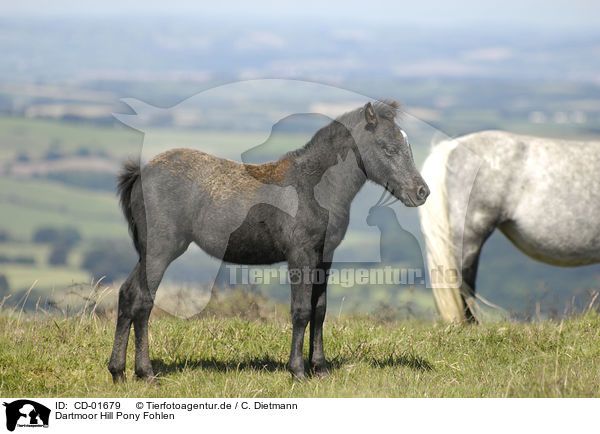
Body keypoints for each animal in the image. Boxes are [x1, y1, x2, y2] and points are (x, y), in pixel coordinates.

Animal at [106, 100, 426, 382]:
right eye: (388, 148)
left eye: (408, 145)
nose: (422, 192)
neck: (314, 187)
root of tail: (140, 173)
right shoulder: (300, 255)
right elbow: (301, 311)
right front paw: (298, 372)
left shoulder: (324, 256)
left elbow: (320, 310)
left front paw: (320, 370)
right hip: (161, 250)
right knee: (143, 300)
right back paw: (146, 374)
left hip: (148, 253)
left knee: (127, 294)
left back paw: (118, 372)